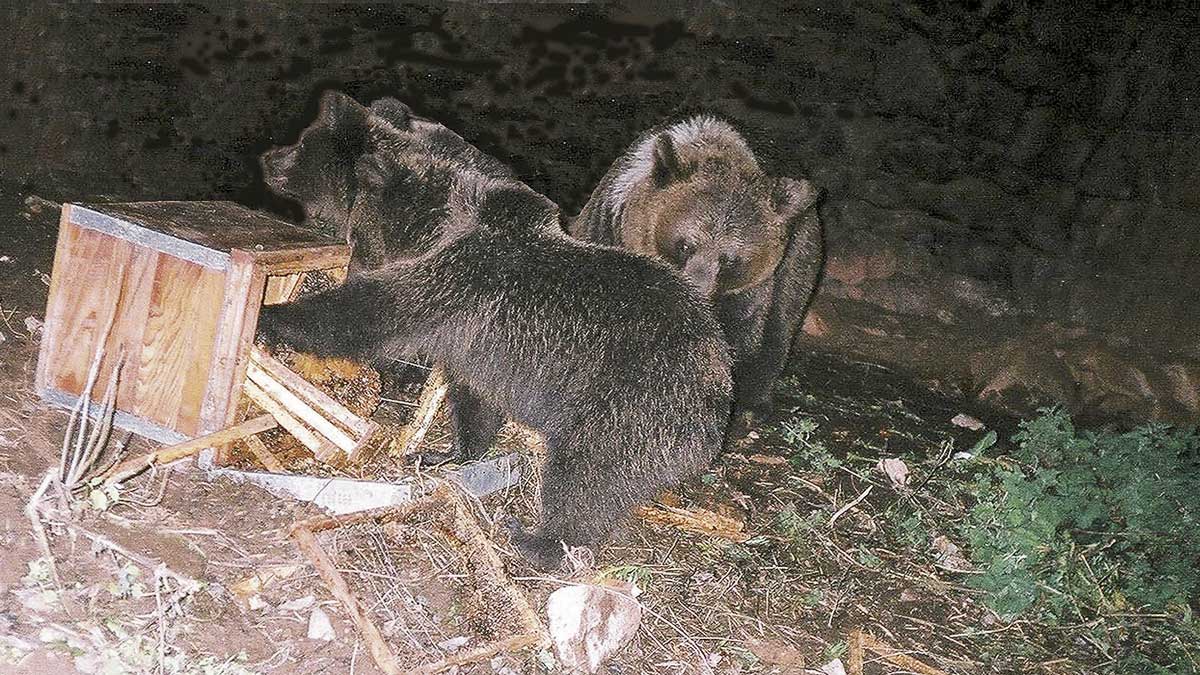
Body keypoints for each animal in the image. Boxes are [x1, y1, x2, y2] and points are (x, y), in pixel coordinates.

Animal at [258, 145, 734, 566]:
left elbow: (370, 314)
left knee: (585, 475)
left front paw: (270, 314)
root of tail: (715, 403)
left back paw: (538, 540)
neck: (446, 225)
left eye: (355, 235)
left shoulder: (462, 279)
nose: (350, 261)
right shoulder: (475, 337)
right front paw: (448, 452)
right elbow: (475, 400)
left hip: (628, 405)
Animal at [571, 114, 825, 420]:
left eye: (729, 259)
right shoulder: (606, 234)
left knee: (781, 325)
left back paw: (756, 403)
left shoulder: (748, 291)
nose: (698, 293)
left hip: (799, 254)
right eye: (684, 245)